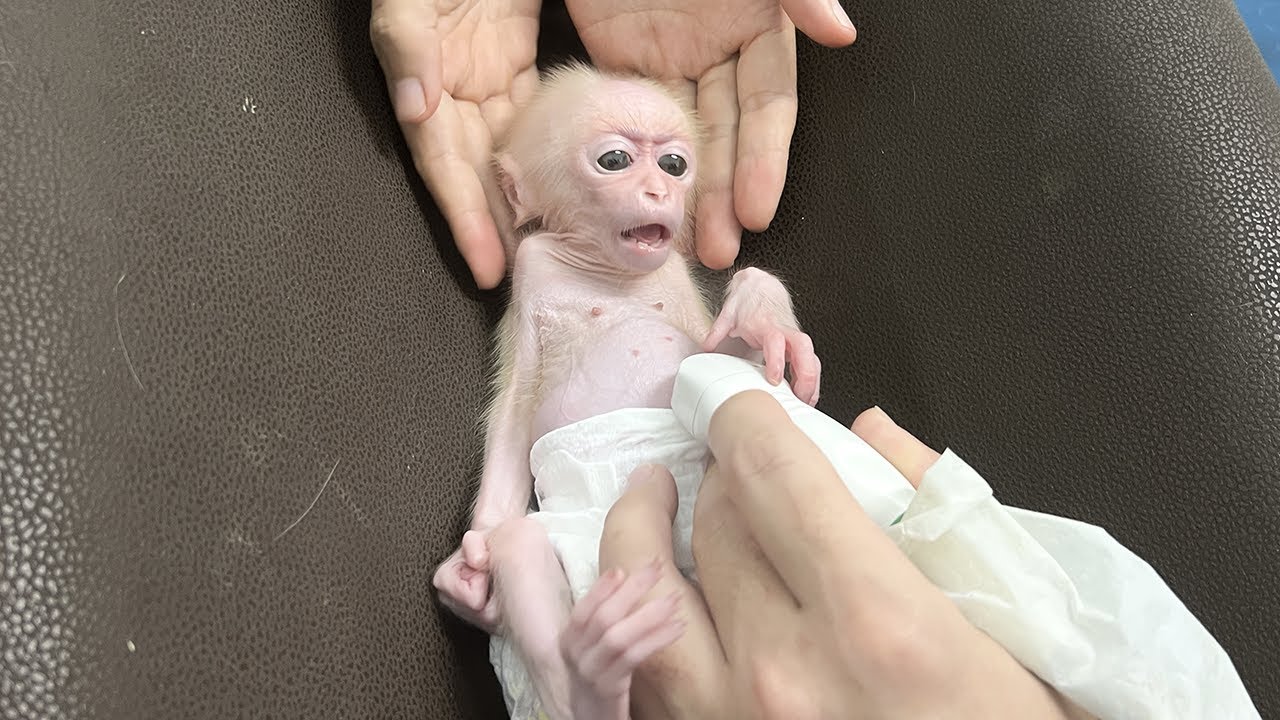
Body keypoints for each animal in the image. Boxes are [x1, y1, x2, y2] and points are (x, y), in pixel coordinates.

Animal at [430, 61, 822, 720]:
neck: (603, 270)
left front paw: (761, 312)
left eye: (673, 164)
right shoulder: (530, 273)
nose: (661, 192)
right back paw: (590, 680)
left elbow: (719, 352)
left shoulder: (678, 283)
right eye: (614, 161)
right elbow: (513, 416)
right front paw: (471, 574)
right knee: (521, 548)